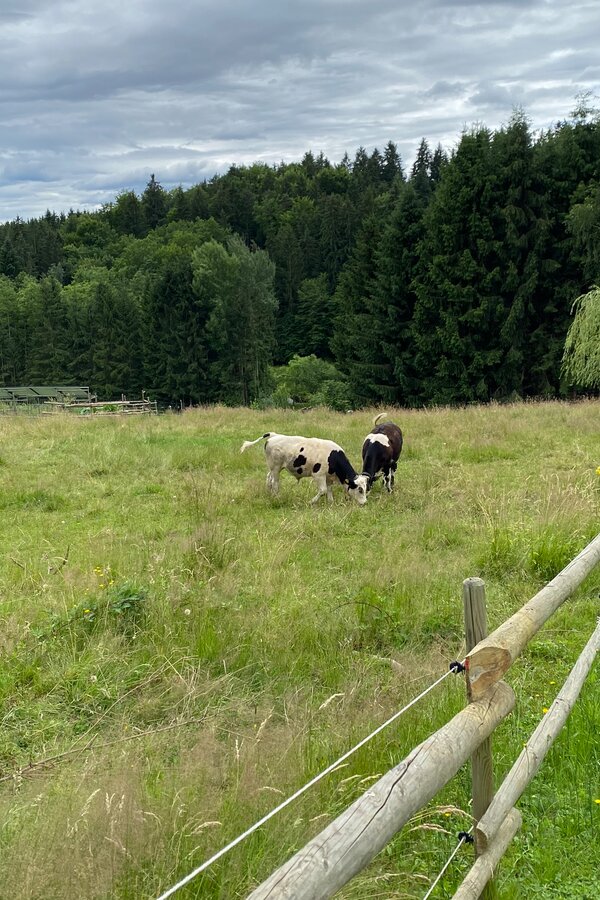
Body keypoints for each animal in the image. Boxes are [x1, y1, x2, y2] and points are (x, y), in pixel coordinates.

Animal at [240, 432, 369, 505]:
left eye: (365, 488)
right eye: (360, 490)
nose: (364, 503)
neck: (333, 456)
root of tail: (273, 436)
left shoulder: (328, 477)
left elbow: (329, 491)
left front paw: (330, 503)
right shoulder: (318, 475)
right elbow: (323, 490)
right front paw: (311, 502)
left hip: (274, 467)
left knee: (269, 478)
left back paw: (269, 493)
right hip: (276, 467)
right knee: (275, 483)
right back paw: (276, 497)